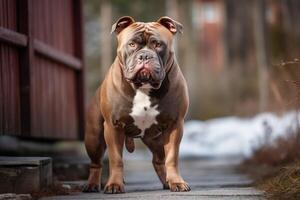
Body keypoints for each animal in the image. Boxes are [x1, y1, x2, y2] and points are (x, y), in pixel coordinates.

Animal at [82, 16, 190, 194]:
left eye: (158, 44)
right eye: (132, 44)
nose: (145, 56)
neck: (143, 87)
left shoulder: (174, 125)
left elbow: (172, 158)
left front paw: (176, 182)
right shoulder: (113, 127)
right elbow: (116, 159)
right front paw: (114, 185)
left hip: (156, 140)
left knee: (159, 160)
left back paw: (167, 182)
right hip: (94, 137)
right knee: (96, 163)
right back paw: (91, 184)